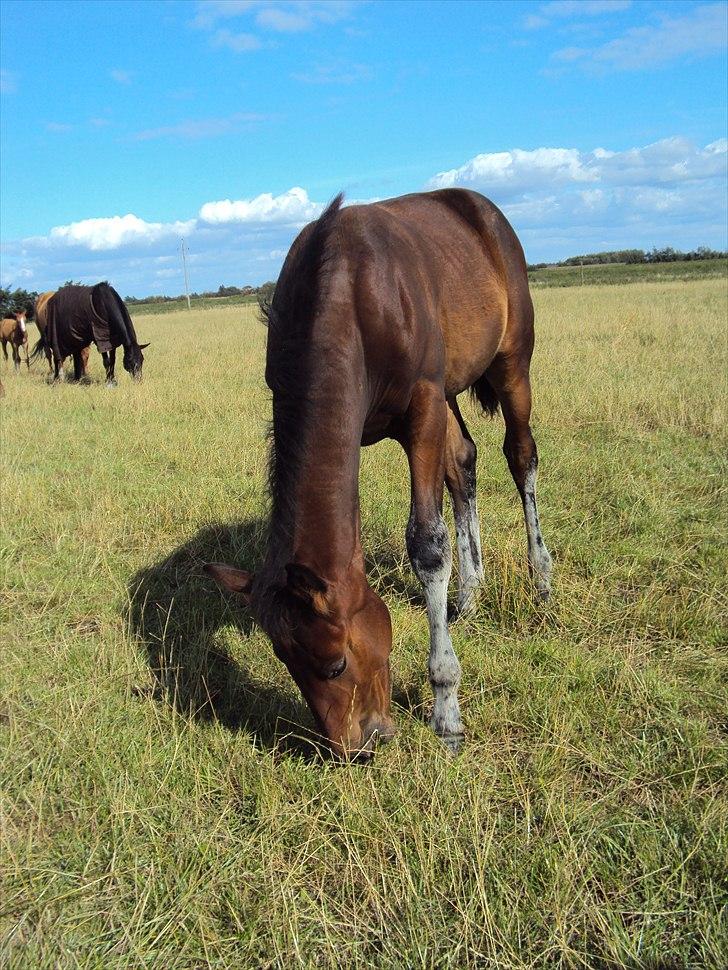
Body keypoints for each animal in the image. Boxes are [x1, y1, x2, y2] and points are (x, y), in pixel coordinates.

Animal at [206, 189, 552, 760]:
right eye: (286, 665)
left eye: (336, 664)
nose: (356, 749)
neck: (351, 297)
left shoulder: (424, 407)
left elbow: (427, 543)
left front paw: (446, 712)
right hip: (453, 389)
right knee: (464, 463)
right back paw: (469, 594)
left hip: (510, 363)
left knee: (520, 455)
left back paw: (541, 579)